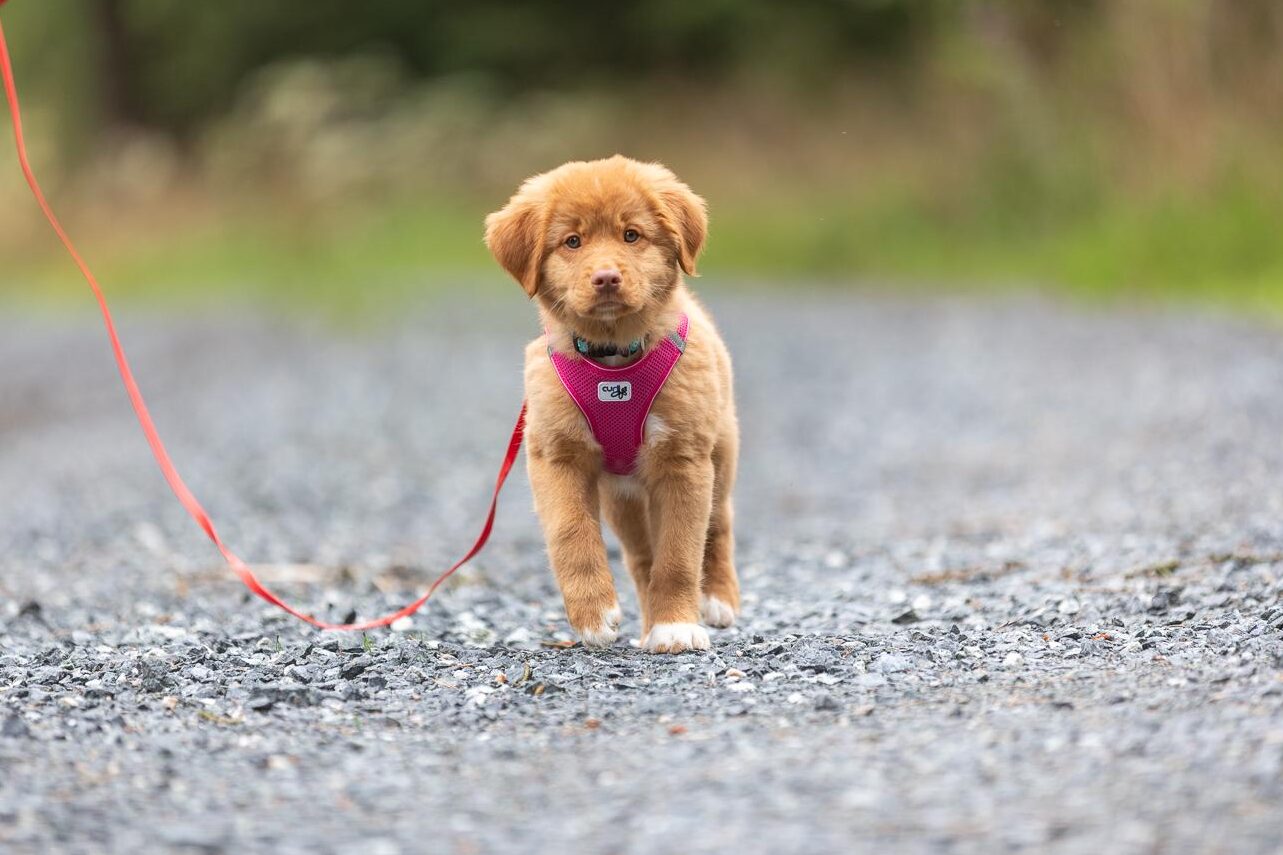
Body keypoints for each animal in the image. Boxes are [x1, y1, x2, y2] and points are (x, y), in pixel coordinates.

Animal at [484, 155, 740, 653]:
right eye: (572, 241)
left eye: (631, 235)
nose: (606, 278)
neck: (614, 360)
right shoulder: (555, 455)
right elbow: (570, 534)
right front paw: (593, 615)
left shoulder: (684, 461)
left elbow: (680, 554)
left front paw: (677, 626)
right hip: (622, 499)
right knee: (641, 559)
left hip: (721, 453)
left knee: (718, 525)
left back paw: (718, 601)